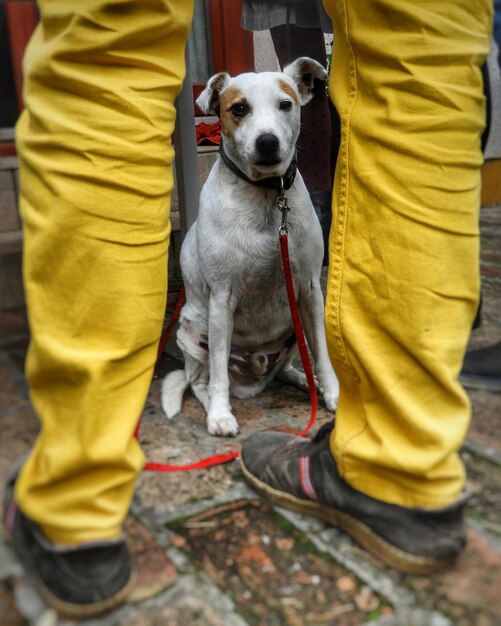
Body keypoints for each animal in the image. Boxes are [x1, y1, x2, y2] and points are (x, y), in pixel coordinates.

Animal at [162, 57, 338, 434]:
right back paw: (217, 409)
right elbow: (217, 376)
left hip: (293, 330)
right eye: (239, 109)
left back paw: (309, 382)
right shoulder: (222, 297)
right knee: (202, 381)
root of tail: (254, 374)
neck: (268, 196)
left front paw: (332, 393)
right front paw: (220, 414)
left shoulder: (310, 289)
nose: (268, 142)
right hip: (192, 333)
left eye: (285, 104)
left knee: (287, 367)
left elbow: (321, 353)